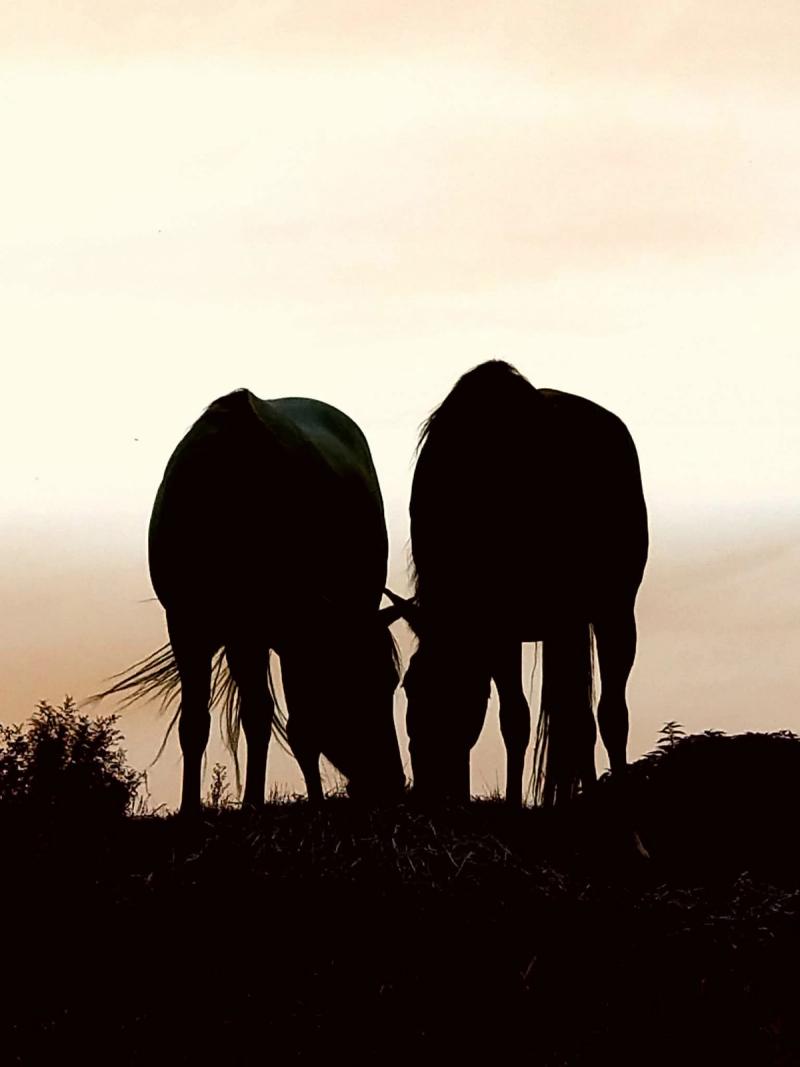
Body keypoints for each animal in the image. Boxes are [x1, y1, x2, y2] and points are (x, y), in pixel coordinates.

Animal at [95, 389, 407, 814]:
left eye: (393, 681)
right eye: (350, 681)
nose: (392, 785)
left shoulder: (276, 635)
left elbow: (280, 722)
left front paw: (263, 804)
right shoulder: (190, 627)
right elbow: (198, 722)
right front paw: (191, 809)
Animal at [391, 360, 648, 807]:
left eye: (454, 690)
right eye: (410, 685)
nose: (428, 789)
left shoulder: (545, 621)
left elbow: (570, 719)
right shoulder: (500, 633)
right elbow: (515, 720)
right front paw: (512, 802)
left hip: (610, 613)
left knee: (608, 713)